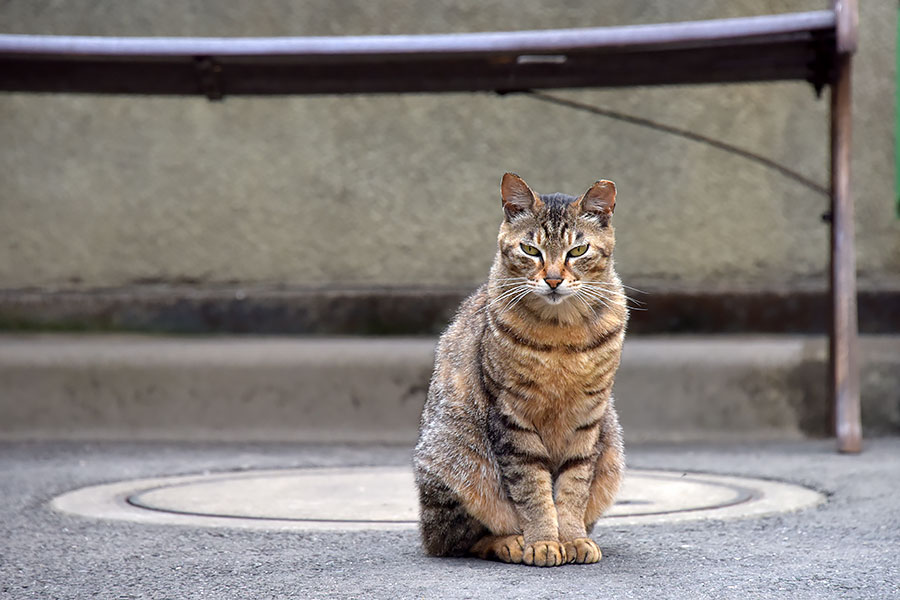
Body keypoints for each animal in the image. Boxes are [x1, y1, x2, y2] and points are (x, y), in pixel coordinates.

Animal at [414, 172, 624, 568]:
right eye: (530, 250)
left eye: (577, 251)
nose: (554, 279)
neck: (561, 336)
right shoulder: (512, 416)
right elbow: (532, 489)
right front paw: (543, 541)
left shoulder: (588, 417)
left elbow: (573, 487)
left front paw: (572, 537)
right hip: (455, 457)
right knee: (457, 541)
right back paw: (511, 542)